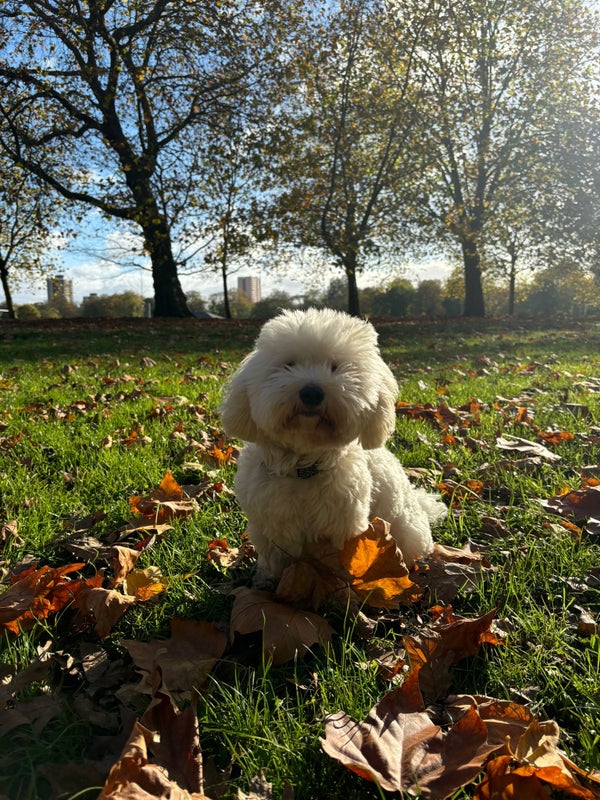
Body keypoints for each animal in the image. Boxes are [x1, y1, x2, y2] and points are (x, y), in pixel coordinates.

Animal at [220, 308, 446, 581]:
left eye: (336, 367)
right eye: (289, 364)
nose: (311, 392)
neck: (303, 468)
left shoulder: (344, 526)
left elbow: (340, 564)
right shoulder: (268, 527)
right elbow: (273, 561)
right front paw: (266, 582)